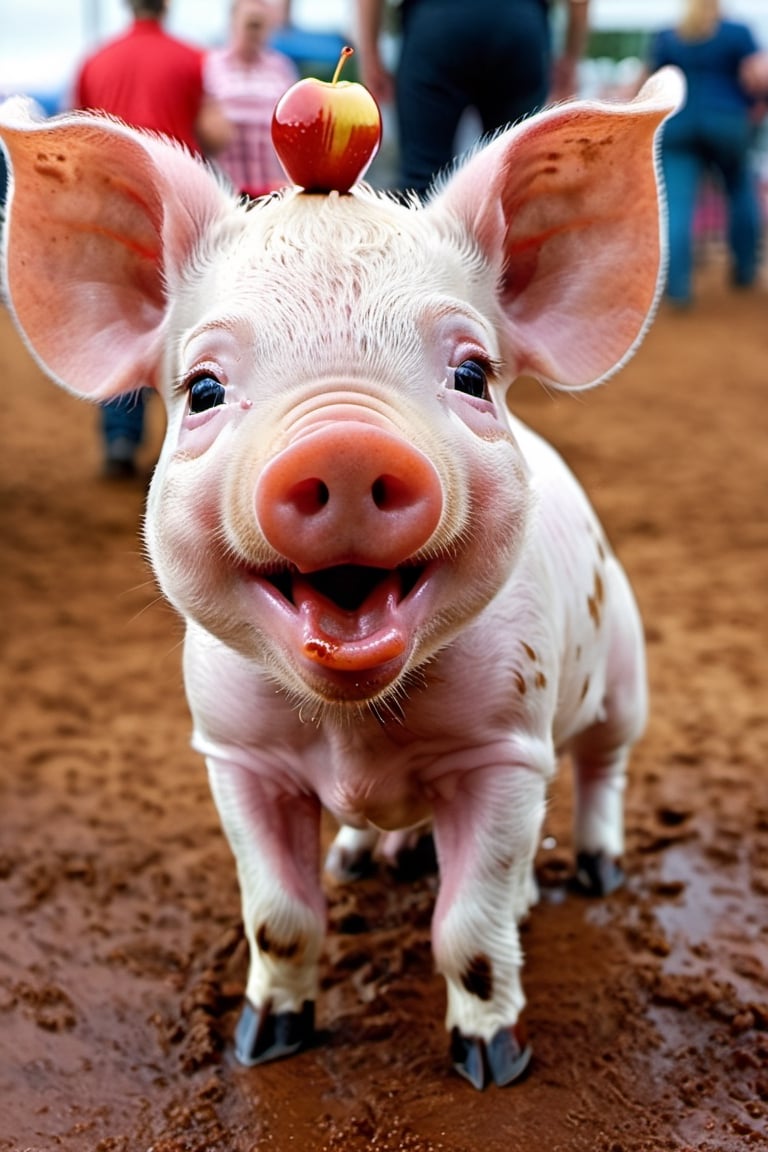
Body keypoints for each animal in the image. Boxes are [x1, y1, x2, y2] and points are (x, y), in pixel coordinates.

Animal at [0, 66, 683, 1089]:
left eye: (472, 375)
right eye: (203, 389)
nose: (348, 442)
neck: (352, 731)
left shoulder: (504, 744)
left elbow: (468, 928)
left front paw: (493, 1064)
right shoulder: (232, 754)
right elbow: (279, 919)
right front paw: (262, 1044)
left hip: (625, 666)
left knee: (603, 769)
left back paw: (594, 875)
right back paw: (364, 862)